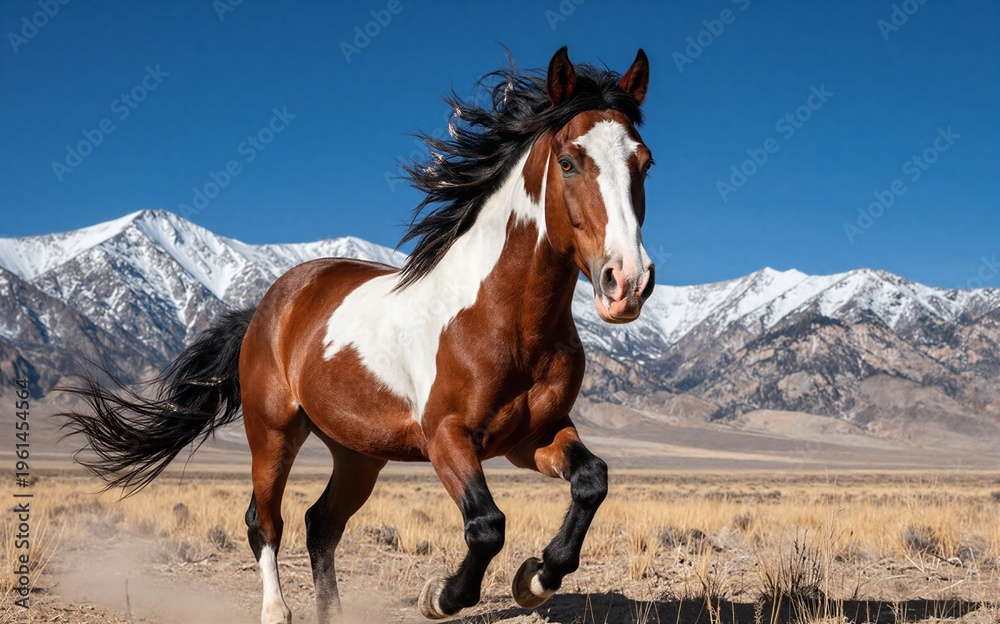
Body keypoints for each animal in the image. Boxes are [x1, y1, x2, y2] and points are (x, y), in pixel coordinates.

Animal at [61, 46, 655, 623]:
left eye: (644, 163)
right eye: (569, 161)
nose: (627, 282)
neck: (505, 320)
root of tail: (268, 305)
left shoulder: (532, 436)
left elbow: (592, 481)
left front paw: (534, 579)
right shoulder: (447, 437)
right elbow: (486, 525)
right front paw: (439, 597)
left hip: (357, 452)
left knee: (320, 522)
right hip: (272, 431)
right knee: (264, 519)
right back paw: (277, 611)